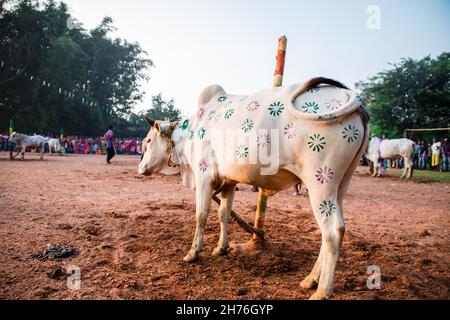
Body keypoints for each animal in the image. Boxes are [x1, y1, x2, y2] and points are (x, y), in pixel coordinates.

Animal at [138, 78, 370, 300]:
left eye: (147, 141)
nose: (141, 168)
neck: (189, 132)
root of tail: (356, 103)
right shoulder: (229, 182)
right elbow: (223, 214)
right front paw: (221, 248)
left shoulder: (204, 177)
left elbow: (200, 216)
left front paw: (193, 253)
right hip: (340, 184)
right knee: (333, 229)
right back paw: (310, 279)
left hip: (319, 180)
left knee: (333, 230)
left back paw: (322, 290)